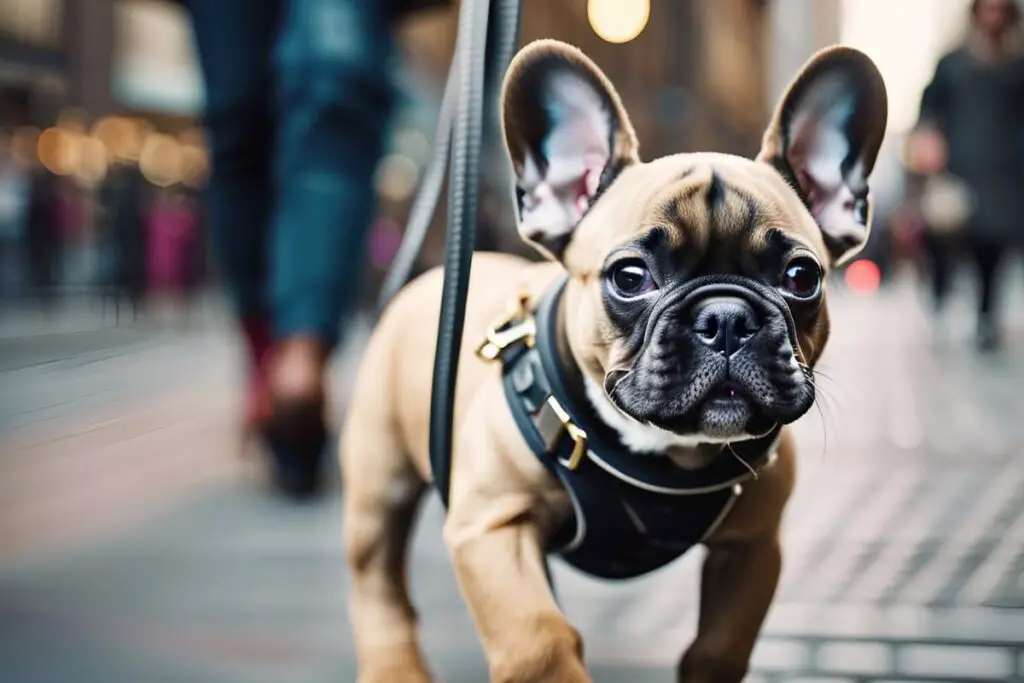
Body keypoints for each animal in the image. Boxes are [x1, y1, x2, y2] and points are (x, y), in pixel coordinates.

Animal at [339, 40, 884, 683]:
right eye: (629, 277)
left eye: (802, 277)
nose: (726, 318)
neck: (666, 455)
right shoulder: (490, 525)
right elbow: (538, 639)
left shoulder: (751, 548)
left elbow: (719, 648)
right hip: (379, 491)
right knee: (379, 587)